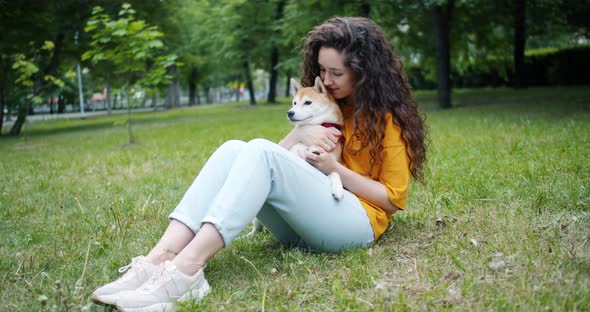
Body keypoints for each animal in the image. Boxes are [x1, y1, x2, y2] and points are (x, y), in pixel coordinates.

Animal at [247, 76, 344, 236]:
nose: (289, 112)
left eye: (308, 102)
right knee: (257, 227)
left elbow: (335, 172)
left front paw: (338, 189)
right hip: (256, 219)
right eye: (294, 103)